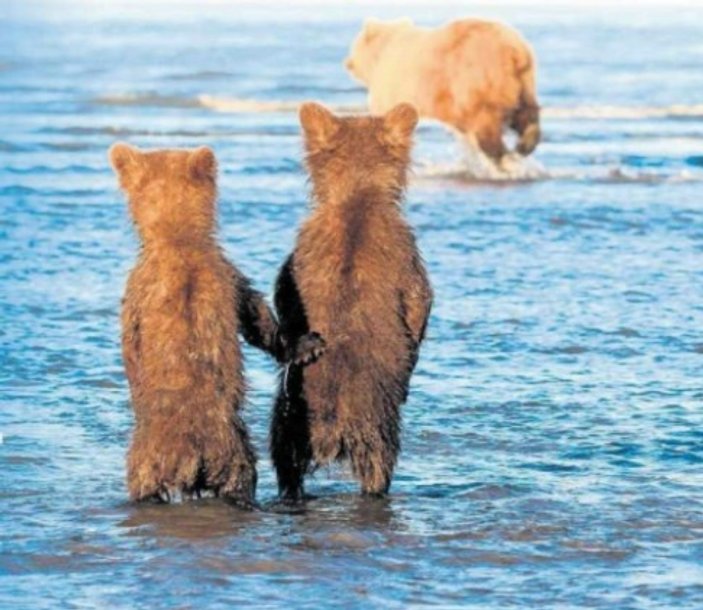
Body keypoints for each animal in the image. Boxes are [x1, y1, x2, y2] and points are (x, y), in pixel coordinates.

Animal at [110, 142, 324, 504]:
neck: (178, 240)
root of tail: (191, 456)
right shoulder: (223, 276)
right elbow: (255, 318)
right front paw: (307, 345)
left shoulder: (142, 285)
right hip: (223, 454)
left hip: (159, 454)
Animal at [270, 101, 432, 498]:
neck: (358, 194)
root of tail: (330, 428)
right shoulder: (405, 253)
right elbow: (419, 301)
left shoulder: (300, 253)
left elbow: (284, 292)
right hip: (375, 425)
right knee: (380, 465)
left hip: (289, 419)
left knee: (285, 462)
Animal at [346, 17, 540, 162]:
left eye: (354, 45)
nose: (348, 62)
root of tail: (514, 50)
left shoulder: (390, 87)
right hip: (523, 81)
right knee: (526, 112)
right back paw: (524, 144)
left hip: (477, 78)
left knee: (487, 123)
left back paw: (499, 156)